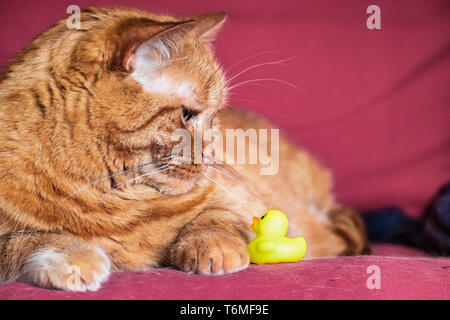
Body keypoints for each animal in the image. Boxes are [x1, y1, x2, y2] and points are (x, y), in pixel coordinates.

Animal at [0, 6, 370, 292]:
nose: (211, 153)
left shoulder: (238, 198)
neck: (111, 197)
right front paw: (75, 258)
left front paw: (212, 246)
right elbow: (33, 239)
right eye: (187, 115)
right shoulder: (9, 237)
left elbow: (217, 218)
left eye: (215, 115)